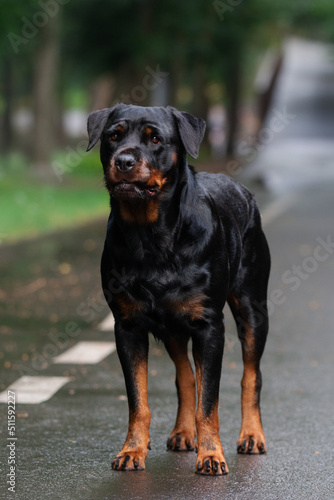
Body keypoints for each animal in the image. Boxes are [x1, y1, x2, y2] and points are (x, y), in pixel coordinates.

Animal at [85, 102, 268, 476]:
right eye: (113, 136)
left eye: (155, 139)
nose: (124, 161)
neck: (151, 236)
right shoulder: (127, 326)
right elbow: (138, 400)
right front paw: (132, 450)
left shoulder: (209, 326)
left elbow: (209, 401)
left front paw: (211, 455)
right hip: (171, 328)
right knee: (186, 378)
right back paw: (183, 433)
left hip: (253, 308)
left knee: (251, 375)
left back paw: (251, 436)